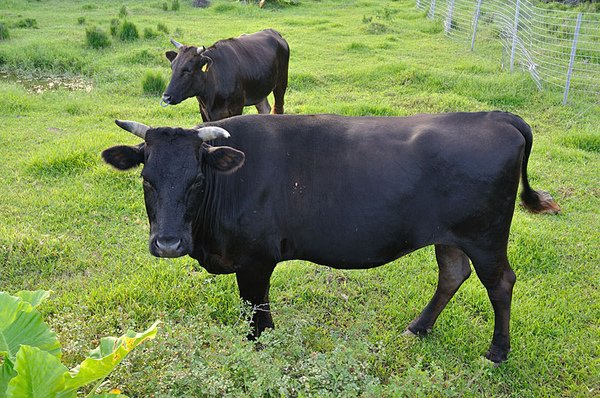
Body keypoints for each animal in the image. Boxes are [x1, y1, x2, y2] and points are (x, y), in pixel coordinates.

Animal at [102, 112, 564, 364]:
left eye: (197, 180)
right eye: (146, 179)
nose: (168, 243)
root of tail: (495, 115)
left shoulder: (254, 260)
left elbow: (256, 312)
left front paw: (259, 348)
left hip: (485, 236)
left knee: (500, 283)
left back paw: (497, 352)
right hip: (450, 236)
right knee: (452, 274)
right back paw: (417, 328)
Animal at [161, 28, 290, 121]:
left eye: (188, 70)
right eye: (172, 67)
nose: (166, 97)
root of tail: (273, 32)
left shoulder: (237, 107)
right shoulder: (203, 111)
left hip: (281, 83)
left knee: (278, 108)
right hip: (259, 90)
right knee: (264, 109)